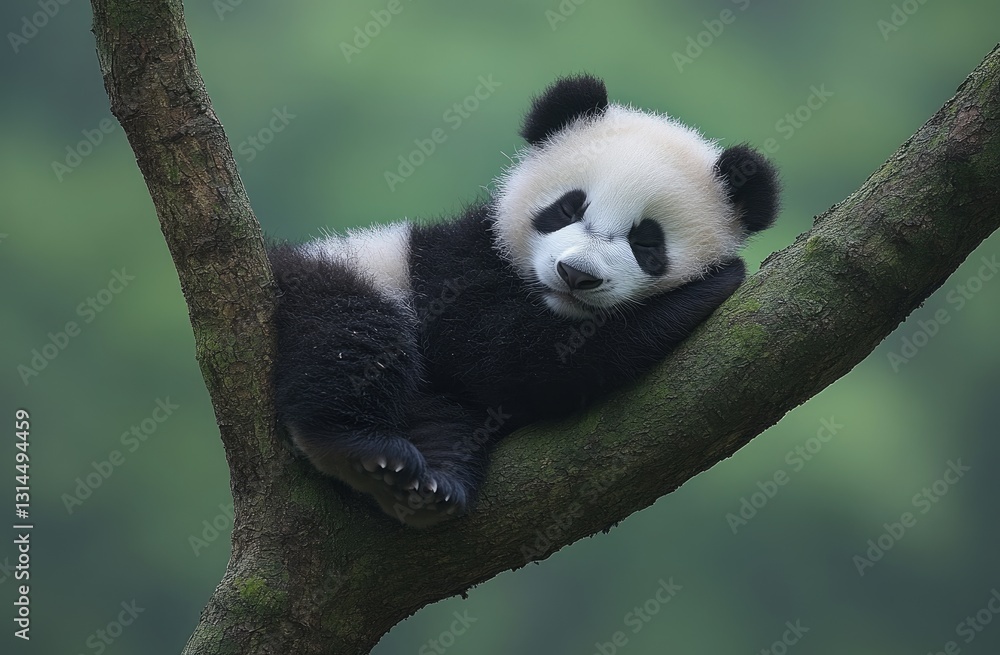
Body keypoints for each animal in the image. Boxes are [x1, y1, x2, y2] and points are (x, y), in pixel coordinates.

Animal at [268, 75, 779, 527]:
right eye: (568, 208)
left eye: (647, 243)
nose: (576, 275)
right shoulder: (455, 268)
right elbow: (505, 354)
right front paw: (712, 286)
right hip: (348, 273)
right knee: (352, 337)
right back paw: (362, 448)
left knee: (442, 417)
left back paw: (422, 485)